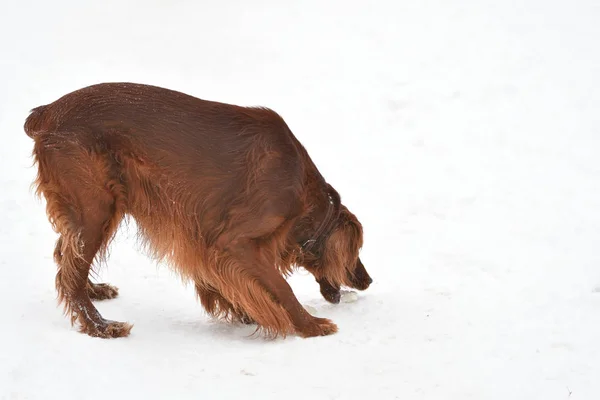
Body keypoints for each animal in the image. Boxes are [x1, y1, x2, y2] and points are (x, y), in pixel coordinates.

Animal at [23, 83, 370, 340]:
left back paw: (95, 291)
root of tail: (47, 112)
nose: (367, 280)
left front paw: (244, 311)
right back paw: (101, 326)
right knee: (69, 275)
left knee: (64, 256)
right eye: (357, 251)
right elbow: (281, 287)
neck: (303, 191)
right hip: (96, 207)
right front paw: (311, 325)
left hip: (95, 209)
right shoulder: (234, 242)